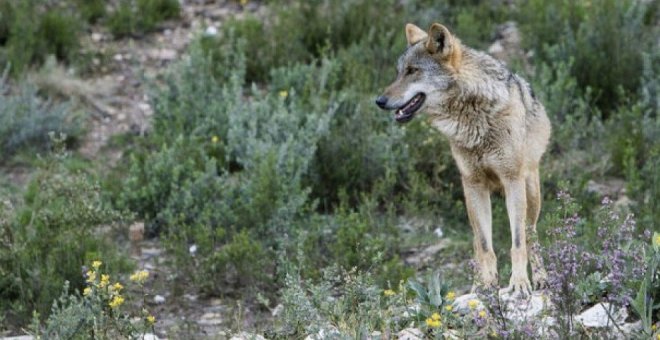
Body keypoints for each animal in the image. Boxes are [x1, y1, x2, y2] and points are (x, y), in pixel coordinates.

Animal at [376, 23, 552, 294]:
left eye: (412, 71)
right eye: (398, 73)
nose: (380, 101)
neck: (474, 115)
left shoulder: (512, 180)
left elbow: (517, 243)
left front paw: (519, 283)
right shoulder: (473, 184)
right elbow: (485, 246)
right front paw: (486, 286)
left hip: (531, 192)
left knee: (531, 234)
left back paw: (541, 279)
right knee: (477, 243)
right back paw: (476, 283)